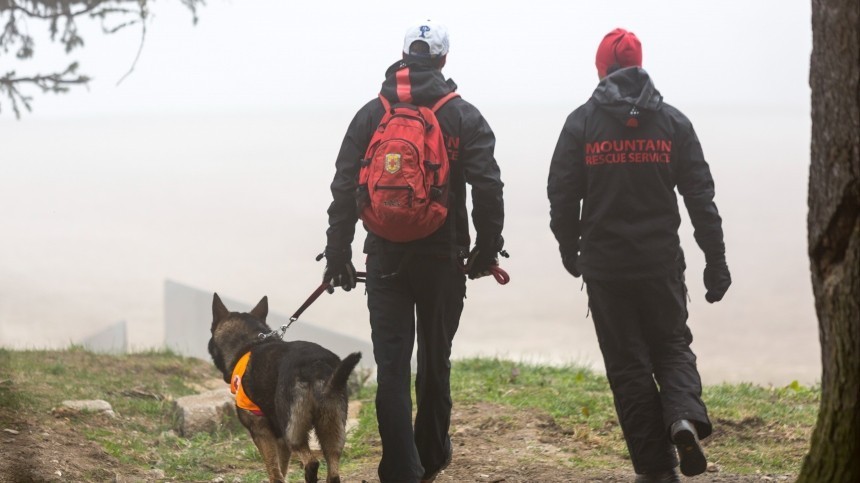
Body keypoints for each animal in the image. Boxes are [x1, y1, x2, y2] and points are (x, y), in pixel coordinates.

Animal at [209, 294, 362, 483]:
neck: (250, 342)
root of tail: (317, 364)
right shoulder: (280, 439)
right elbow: (281, 468)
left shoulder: (261, 431)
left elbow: (274, 471)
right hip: (331, 428)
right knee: (333, 472)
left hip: (293, 430)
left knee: (311, 462)